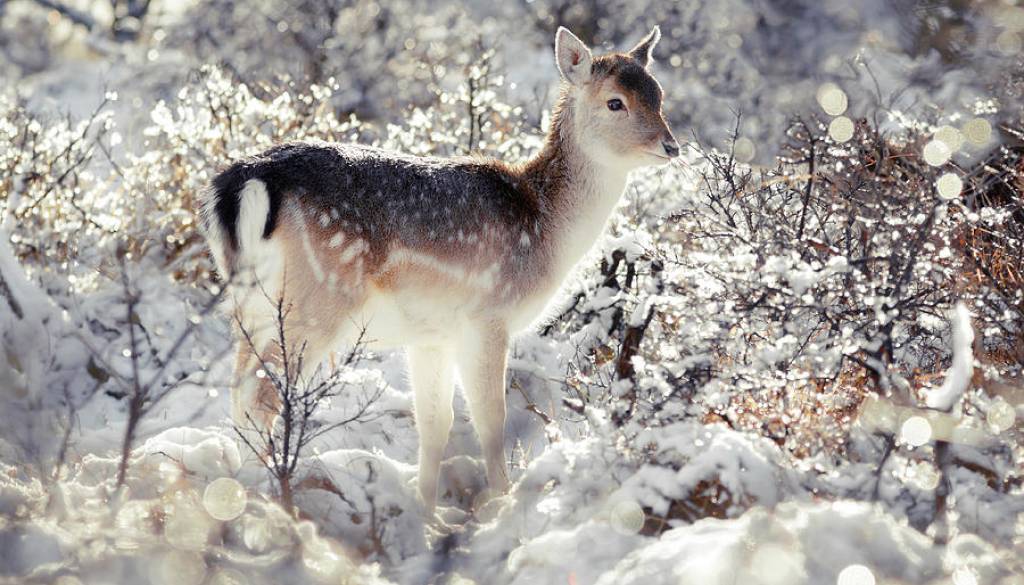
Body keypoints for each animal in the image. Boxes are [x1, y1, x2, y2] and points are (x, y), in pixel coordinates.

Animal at [200, 26, 679, 517]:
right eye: (615, 102)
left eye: (659, 94)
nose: (671, 146)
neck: (545, 227)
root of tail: (243, 183)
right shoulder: (488, 316)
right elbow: (490, 418)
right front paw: (502, 502)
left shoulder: (431, 333)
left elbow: (434, 422)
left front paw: (428, 513)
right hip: (316, 299)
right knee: (262, 398)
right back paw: (274, 498)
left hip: (249, 306)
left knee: (237, 392)